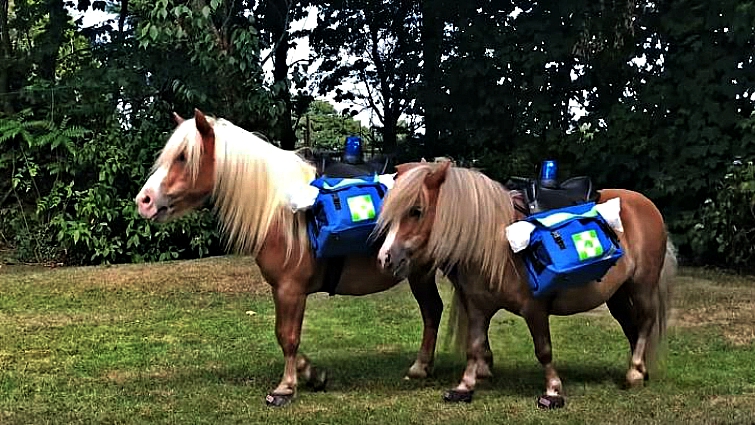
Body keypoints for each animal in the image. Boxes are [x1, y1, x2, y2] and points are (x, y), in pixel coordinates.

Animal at [134, 110, 445, 407]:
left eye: (183, 157)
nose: (143, 201)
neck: (281, 210)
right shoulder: (281, 290)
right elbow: (283, 334)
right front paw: (313, 374)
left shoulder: (290, 290)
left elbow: (288, 336)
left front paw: (286, 388)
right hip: (421, 274)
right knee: (433, 310)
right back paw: (422, 367)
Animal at [376, 160, 677, 407]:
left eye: (416, 210)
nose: (385, 258)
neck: (495, 241)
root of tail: (647, 205)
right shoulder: (477, 306)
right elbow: (474, 346)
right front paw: (464, 387)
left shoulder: (535, 308)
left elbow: (543, 349)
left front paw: (553, 390)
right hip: (617, 295)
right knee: (631, 327)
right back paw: (641, 370)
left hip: (642, 286)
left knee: (646, 322)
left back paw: (635, 371)